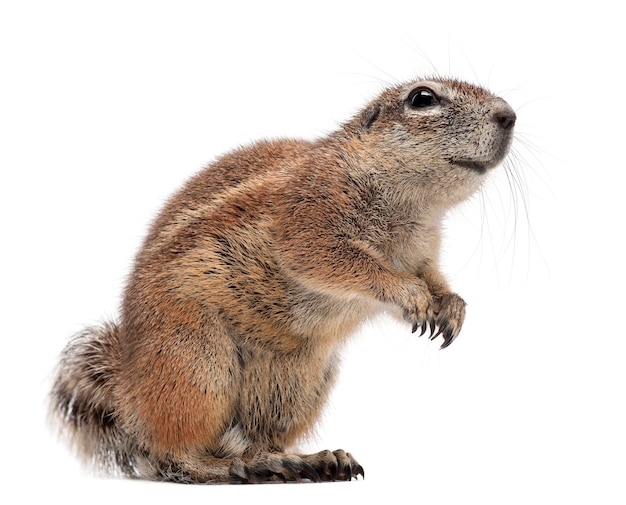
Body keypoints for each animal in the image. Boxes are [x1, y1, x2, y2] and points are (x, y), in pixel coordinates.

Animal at [51, 77, 516, 482]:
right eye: (423, 98)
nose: (508, 114)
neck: (415, 208)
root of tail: (128, 388)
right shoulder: (309, 219)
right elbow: (338, 262)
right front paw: (407, 291)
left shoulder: (422, 253)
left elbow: (433, 279)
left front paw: (451, 306)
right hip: (197, 362)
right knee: (174, 454)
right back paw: (229, 468)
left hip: (295, 387)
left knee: (255, 439)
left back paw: (304, 460)